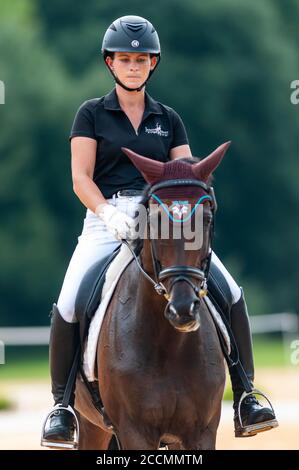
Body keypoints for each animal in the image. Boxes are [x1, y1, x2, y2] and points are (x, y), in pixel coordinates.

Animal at [76, 142, 231, 448]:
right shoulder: (134, 430)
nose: (182, 309)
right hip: (91, 425)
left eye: (206, 220)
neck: (168, 342)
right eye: (156, 221)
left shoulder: (202, 431)